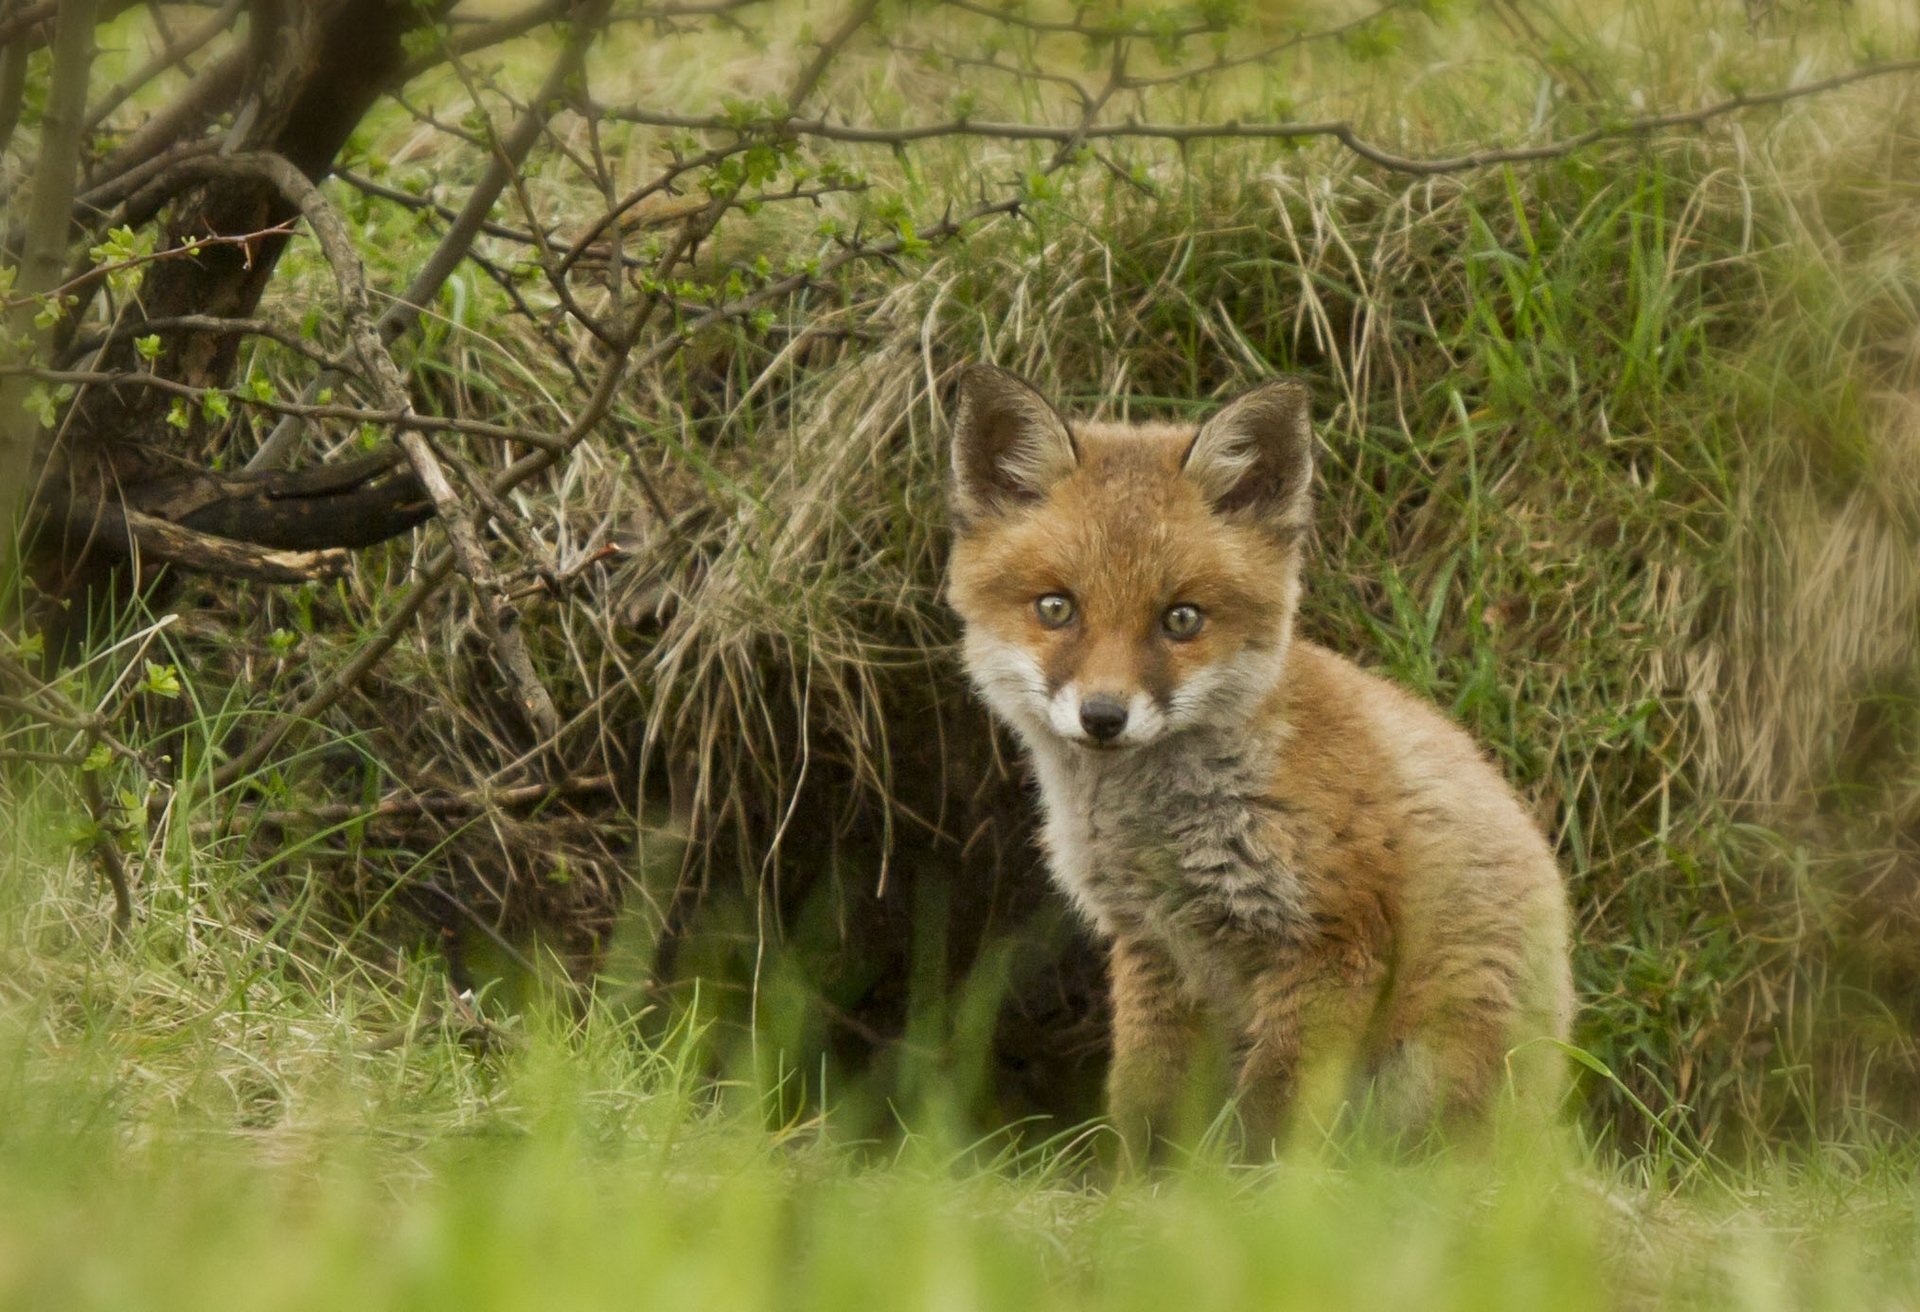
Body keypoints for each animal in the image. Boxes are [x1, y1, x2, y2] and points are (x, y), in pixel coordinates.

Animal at [944, 361, 1574, 1160]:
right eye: (1057, 608)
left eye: (1181, 619)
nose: (1104, 717)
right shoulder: (1153, 949)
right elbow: (1145, 1104)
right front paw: (1141, 1187)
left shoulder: (1331, 943)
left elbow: (1271, 1118)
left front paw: (1263, 1192)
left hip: (1435, 1059)